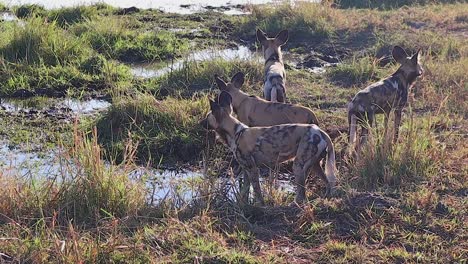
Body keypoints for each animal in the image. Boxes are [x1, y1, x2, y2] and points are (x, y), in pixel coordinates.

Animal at [200, 91, 336, 204]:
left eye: (207, 117)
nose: (200, 123)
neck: (236, 133)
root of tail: (321, 132)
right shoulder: (245, 170)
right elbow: (245, 191)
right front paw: (244, 205)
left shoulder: (252, 169)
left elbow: (257, 192)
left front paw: (260, 206)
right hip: (313, 166)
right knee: (327, 184)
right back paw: (325, 200)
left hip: (298, 166)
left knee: (302, 194)